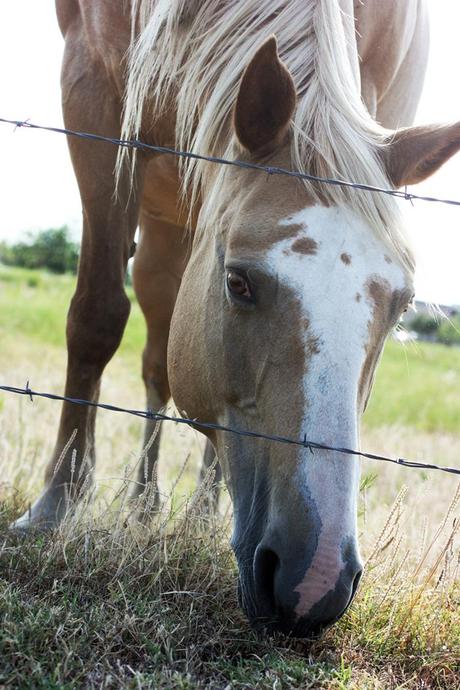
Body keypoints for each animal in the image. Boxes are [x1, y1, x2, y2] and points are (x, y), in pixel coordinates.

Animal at [12, 0, 460, 636]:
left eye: (401, 308)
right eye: (238, 283)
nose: (315, 581)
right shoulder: (91, 90)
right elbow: (97, 314)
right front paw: (57, 504)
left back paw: (194, 514)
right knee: (155, 359)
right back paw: (142, 503)